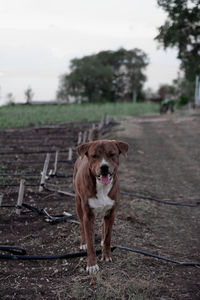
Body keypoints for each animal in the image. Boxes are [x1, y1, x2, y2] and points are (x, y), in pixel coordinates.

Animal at [73, 139, 128, 274]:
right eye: (94, 156)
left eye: (112, 154)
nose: (104, 167)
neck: (102, 187)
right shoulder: (88, 216)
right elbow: (90, 242)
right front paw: (92, 265)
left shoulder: (111, 213)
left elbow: (108, 236)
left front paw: (106, 255)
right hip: (78, 202)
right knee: (81, 224)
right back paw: (83, 243)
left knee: (104, 224)